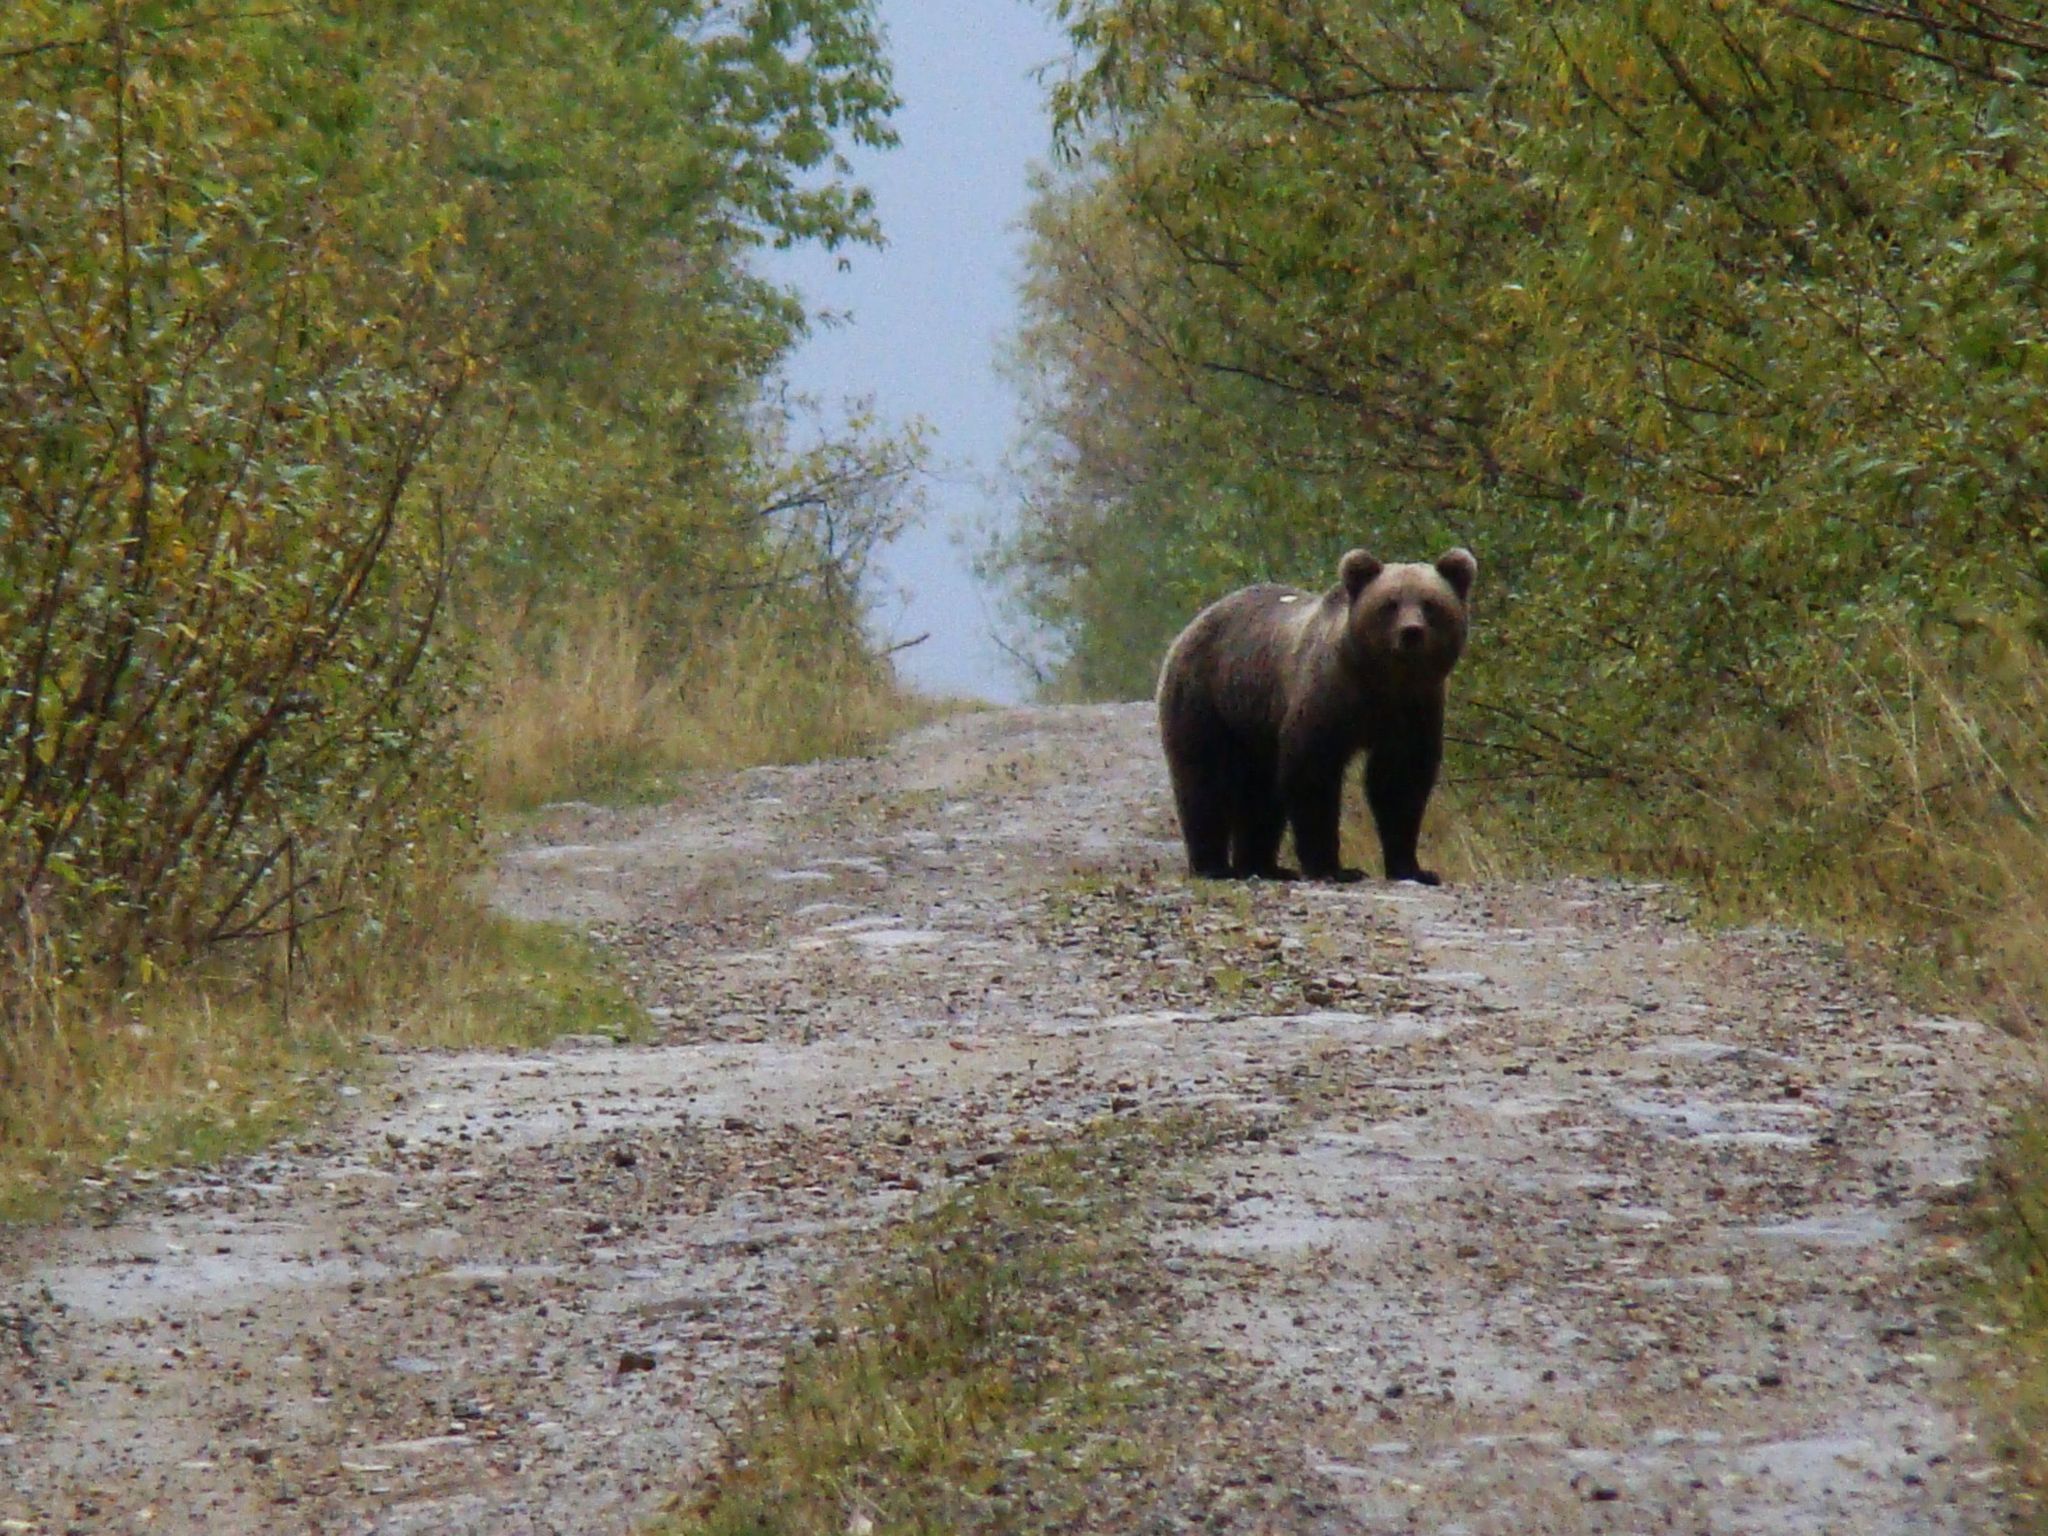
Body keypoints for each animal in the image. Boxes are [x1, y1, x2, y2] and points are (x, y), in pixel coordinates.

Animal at [1155, 548, 1474, 888]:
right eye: (1390, 604)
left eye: (1430, 603)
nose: (1411, 632)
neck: (1381, 682)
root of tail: (1192, 625)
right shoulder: (1328, 697)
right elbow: (1313, 773)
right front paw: (1334, 868)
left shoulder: (1414, 708)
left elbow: (1401, 780)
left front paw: (1414, 869)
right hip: (1207, 698)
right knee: (1204, 779)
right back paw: (1213, 866)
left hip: (1256, 722)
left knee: (1259, 792)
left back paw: (1264, 866)